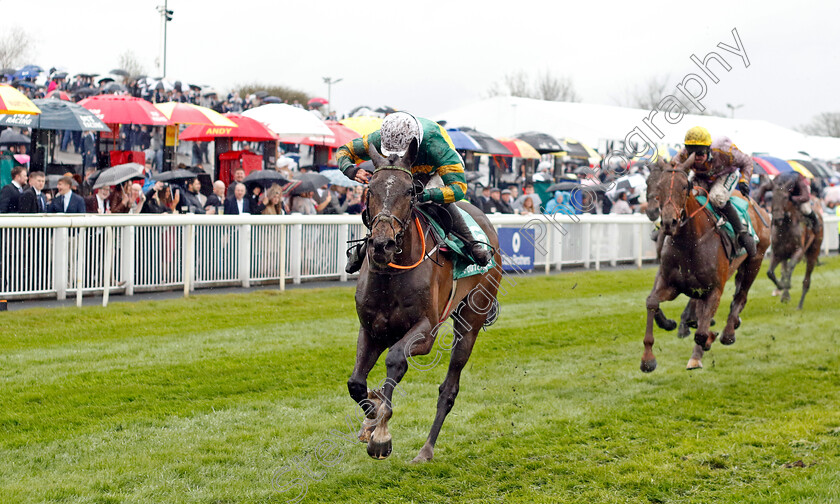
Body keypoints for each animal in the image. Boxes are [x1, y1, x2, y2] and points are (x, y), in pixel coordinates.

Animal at [346, 140, 502, 462]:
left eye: (409, 191)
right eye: (370, 189)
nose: (382, 244)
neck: (391, 274)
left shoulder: (426, 331)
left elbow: (395, 359)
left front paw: (381, 436)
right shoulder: (371, 329)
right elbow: (356, 383)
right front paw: (371, 417)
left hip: (470, 321)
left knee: (449, 388)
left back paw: (426, 450)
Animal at [644, 156, 768, 372]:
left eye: (684, 186)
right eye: (655, 185)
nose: (668, 222)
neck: (690, 241)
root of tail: (758, 207)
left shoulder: (714, 289)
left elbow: (702, 332)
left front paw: (709, 337)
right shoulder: (671, 283)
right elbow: (652, 302)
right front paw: (648, 358)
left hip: (755, 260)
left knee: (741, 296)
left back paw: (727, 333)